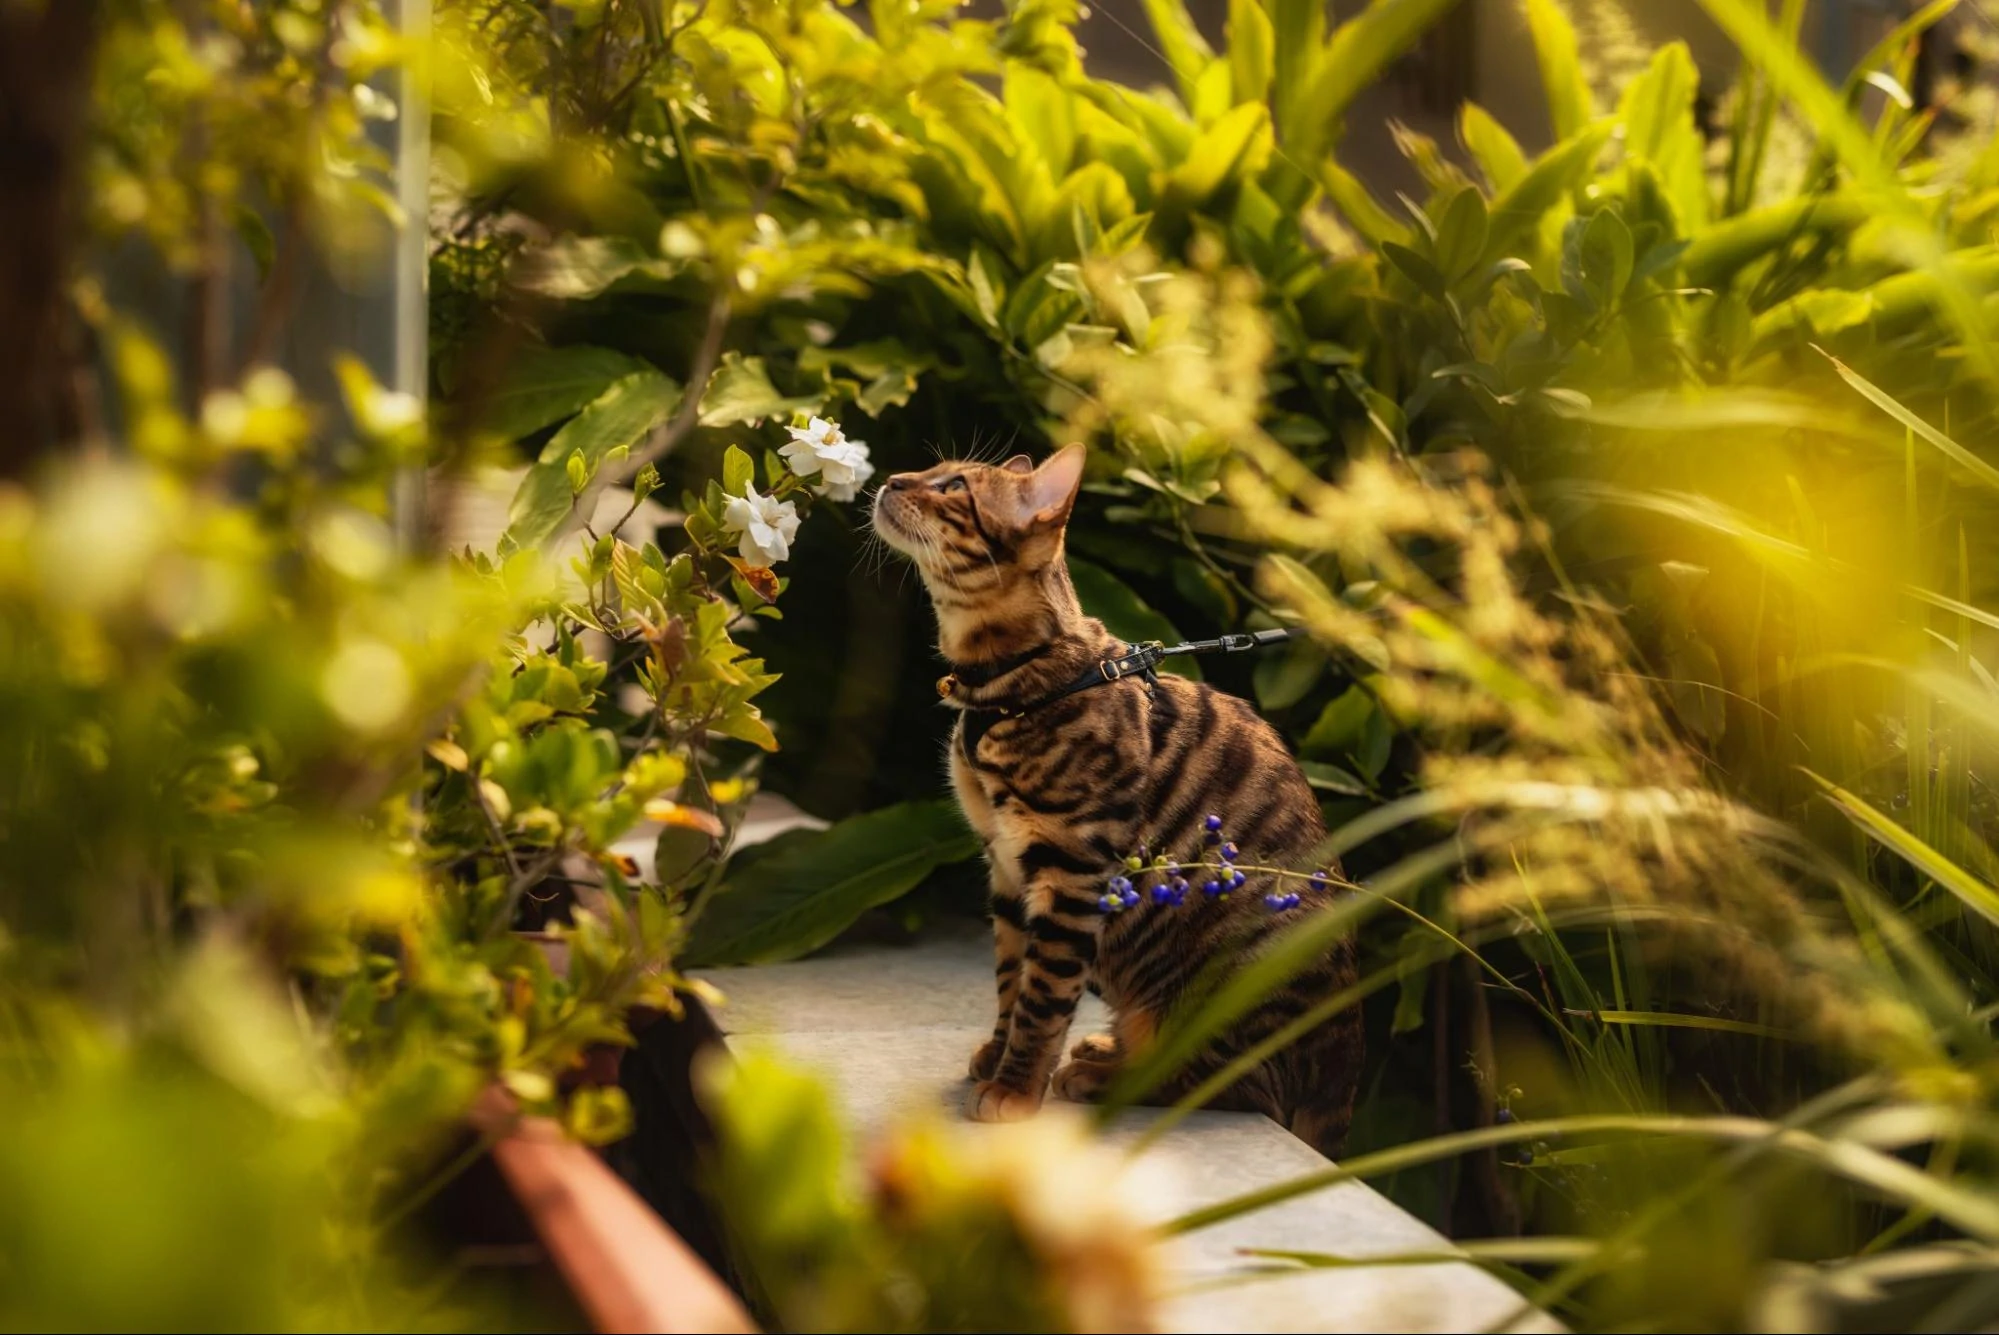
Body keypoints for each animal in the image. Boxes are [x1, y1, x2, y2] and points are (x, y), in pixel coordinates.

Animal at [871, 443, 1359, 1151]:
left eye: (955, 486)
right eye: (932, 470)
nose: (890, 479)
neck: (1009, 680)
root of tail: (1340, 1080)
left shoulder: (1073, 869)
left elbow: (1043, 997)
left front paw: (1016, 1087)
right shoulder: (1006, 868)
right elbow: (1011, 981)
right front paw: (999, 1055)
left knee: (1230, 1084)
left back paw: (1110, 1078)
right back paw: (1109, 1053)